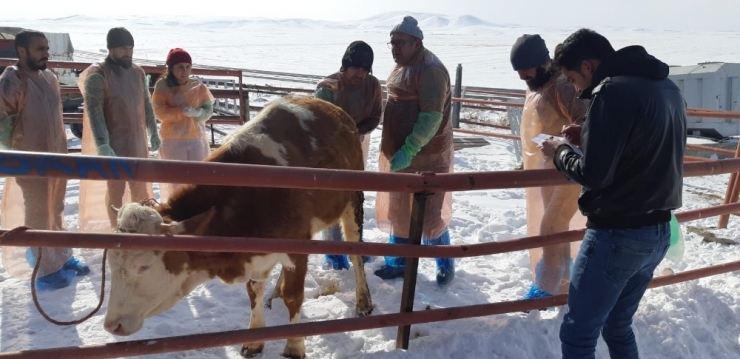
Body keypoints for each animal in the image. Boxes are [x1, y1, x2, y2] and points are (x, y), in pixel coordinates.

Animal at [104, 94, 376, 358]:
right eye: (112, 265)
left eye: (144, 266)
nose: (111, 324)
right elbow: (254, 291)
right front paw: (255, 340)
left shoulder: (297, 244)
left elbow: (294, 295)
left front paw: (295, 345)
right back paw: (275, 293)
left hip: (354, 200)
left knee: (356, 252)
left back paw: (363, 301)